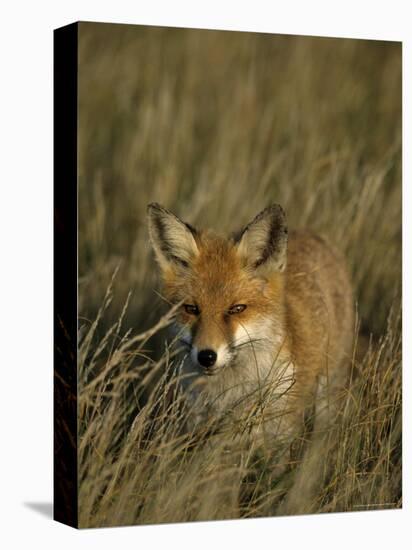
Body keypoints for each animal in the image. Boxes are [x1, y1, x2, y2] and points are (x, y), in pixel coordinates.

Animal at [146, 205, 352, 446]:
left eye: (237, 309)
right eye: (191, 309)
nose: (206, 356)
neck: (232, 393)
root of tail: (312, 233)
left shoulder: (282, 435)